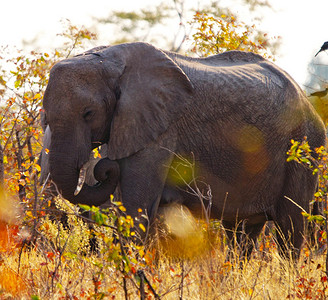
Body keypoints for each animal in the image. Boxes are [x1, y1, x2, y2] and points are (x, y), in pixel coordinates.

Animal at [42, 41, 326, 254]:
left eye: (88, 113)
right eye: (45, 116)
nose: (103, 168)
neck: (107, 58)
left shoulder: (161, 129)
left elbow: (136, 208)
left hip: (304, 147)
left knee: (290, 227)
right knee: (241, 231)